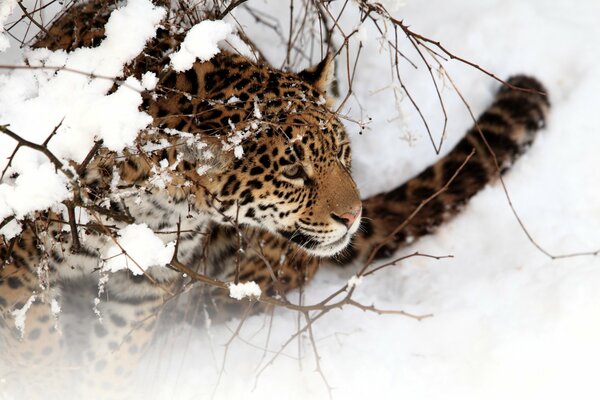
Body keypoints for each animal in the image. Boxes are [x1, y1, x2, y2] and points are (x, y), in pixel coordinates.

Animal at [0, 1, 552, 398]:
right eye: (292, 171)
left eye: (342, 153)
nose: (352, 215)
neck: (153, 201)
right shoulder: (16, 262)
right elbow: (34, 346)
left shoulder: (143, 278)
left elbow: (112, 356)